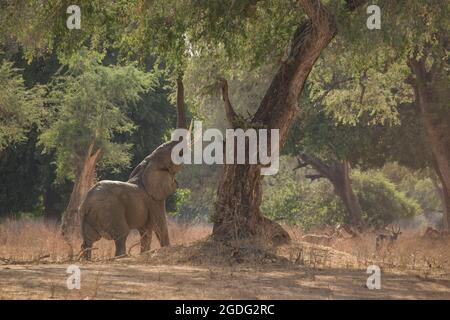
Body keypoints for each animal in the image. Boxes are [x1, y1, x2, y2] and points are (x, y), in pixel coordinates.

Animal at [79, 78, 186, 260]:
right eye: (175, 155)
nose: (179, 76)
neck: (146, 165)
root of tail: (86, 203)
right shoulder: (154, 200)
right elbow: (159, 228)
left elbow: (146, 233)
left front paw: (145, 253)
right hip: (111, 211)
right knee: (121, 236)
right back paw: (120, 257)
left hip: (88, 219)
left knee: (87, 241)